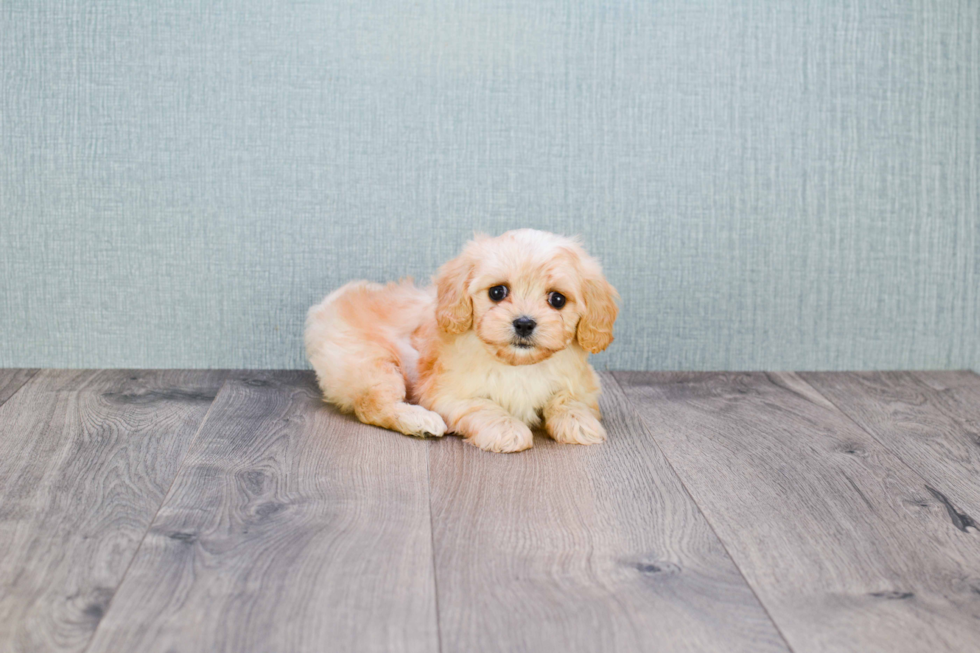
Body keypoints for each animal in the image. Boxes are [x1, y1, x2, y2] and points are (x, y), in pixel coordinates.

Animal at [302, 230, 616, 454]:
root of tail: (328, 304)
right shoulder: (448, 394)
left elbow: (568, 400)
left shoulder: (582, 383)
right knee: (372, 405)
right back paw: (419, 421)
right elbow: (483, 407)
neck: (518, 365)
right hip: (371, 364)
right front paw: (507, 430)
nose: (524, 323)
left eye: (557, 299)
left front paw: (579, 423)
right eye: (497, 292)